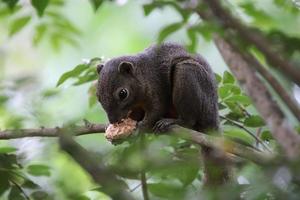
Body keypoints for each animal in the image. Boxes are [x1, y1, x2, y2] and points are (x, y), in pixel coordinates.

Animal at [96, 43, 230, 185]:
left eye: (123, 93)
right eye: (98, 96)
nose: (113, 120)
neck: (143, 73)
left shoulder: (156, 89)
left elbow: (156, 111)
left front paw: (139, 128)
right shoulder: (136, 108)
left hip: (188, 73)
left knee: (189, 120)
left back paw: (172, 122)